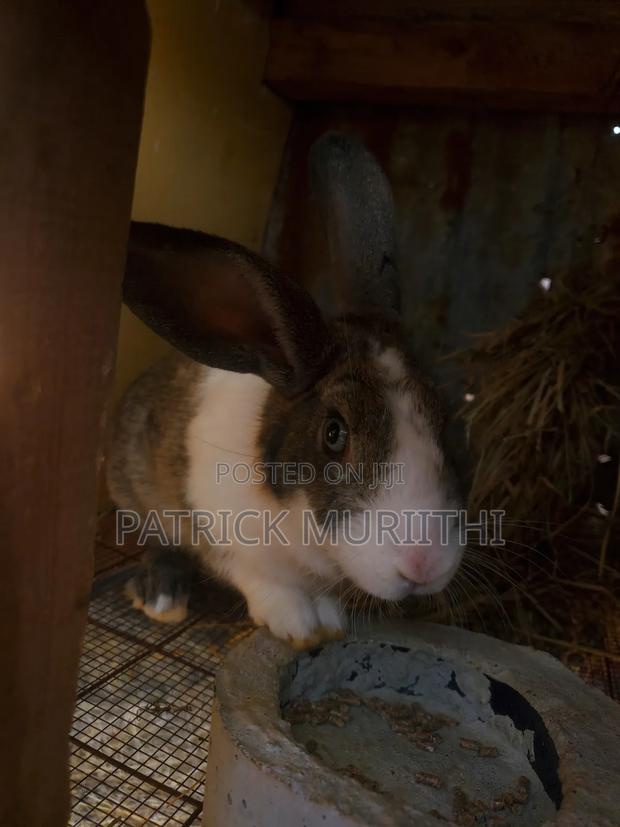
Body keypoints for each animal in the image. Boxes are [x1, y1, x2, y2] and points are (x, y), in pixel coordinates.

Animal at [107, 132, 464, 648]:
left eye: (446, 419)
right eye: (334, 433)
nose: (425, 563)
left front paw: (330, 621)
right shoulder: (225, 535)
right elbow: (263, 581)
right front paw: (299, 625)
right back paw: (162, 598)